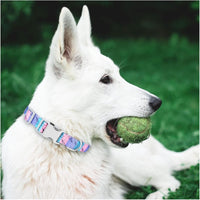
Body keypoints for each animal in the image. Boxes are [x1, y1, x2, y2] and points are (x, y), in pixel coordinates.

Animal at [1, 5, 198, 198]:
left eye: (119, 74)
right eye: (106, 79)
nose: (158, 102)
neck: (64, 143)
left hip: (130, 166)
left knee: (171, 181)